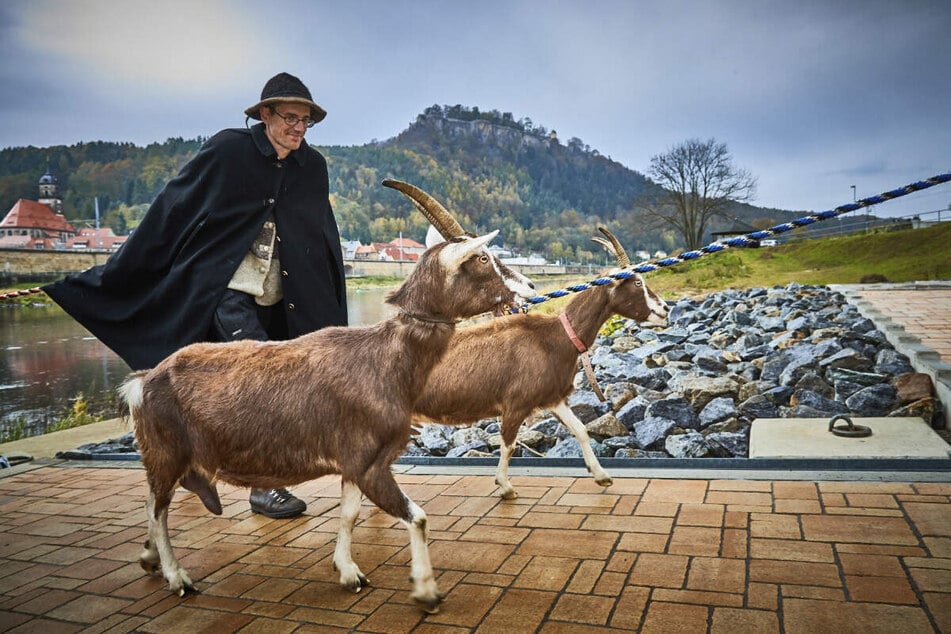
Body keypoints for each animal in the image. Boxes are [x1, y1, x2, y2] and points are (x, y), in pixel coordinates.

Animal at [121, 184, 536, 612]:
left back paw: (150, 558)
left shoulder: (355, 461)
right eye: (483, 257)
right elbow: (417, 517)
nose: (532, 287)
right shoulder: (369, 462)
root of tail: (143, 382)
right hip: (164, 452)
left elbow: (349, 514)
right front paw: (426, 589)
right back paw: (177, 577)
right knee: (156, 508)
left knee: (156, 507)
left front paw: (349, 571)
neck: (386, 358)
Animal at [410, 228, 668, 498]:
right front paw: (505, 487)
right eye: (637, 282)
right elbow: (509, 445)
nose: (665, 309)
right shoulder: (516, 404)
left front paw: (601, 475)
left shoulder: (553, 397)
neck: (556, 337)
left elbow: (581, 429)